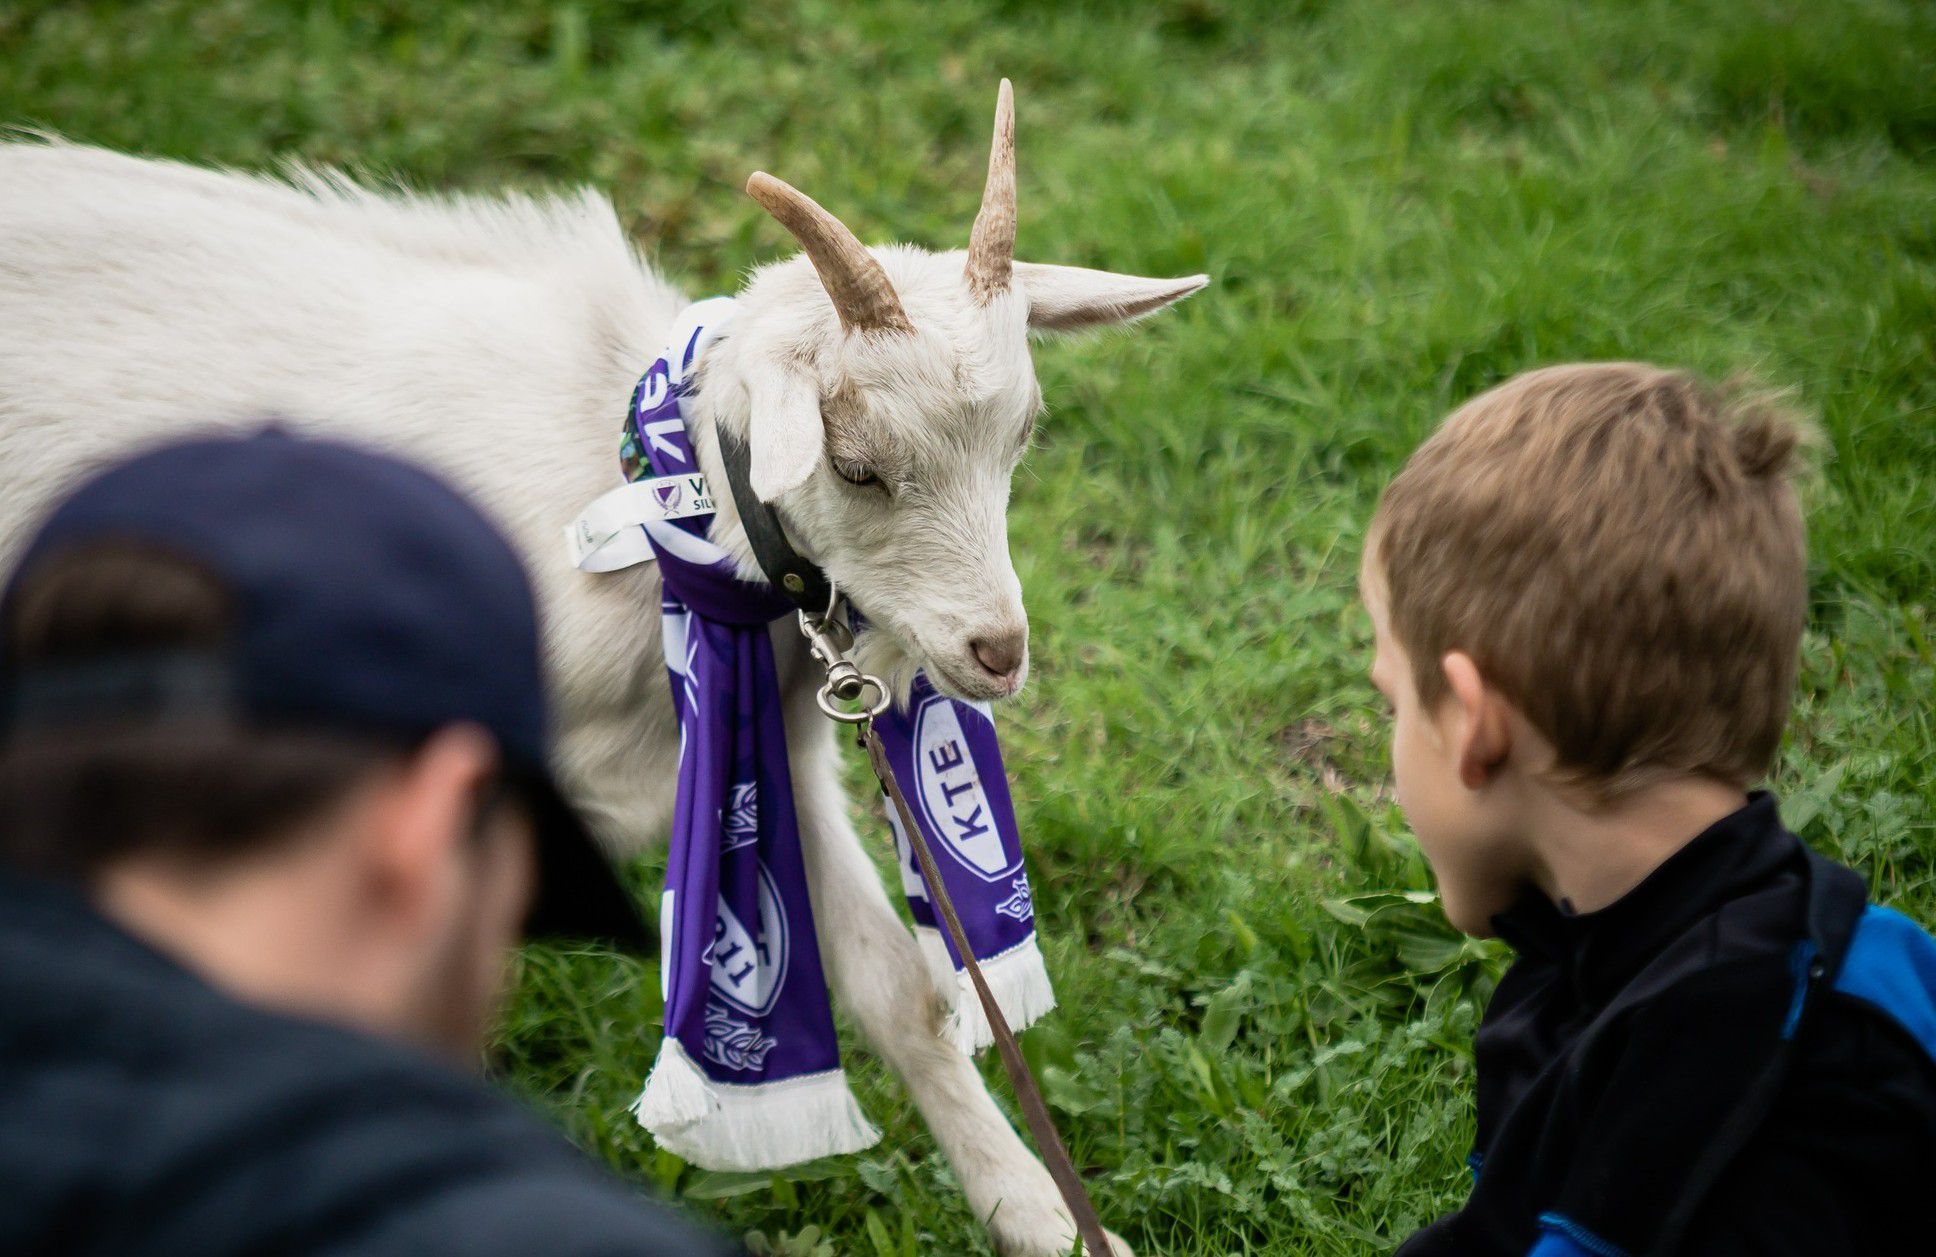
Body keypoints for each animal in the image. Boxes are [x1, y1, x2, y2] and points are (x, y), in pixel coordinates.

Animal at [0, 83, 1200, 1247]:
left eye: (1021, 435)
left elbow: (896, 987)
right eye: (857, 466)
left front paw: (1044, 1219)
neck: (648, 503)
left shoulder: (764, 747)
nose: (996, 652)